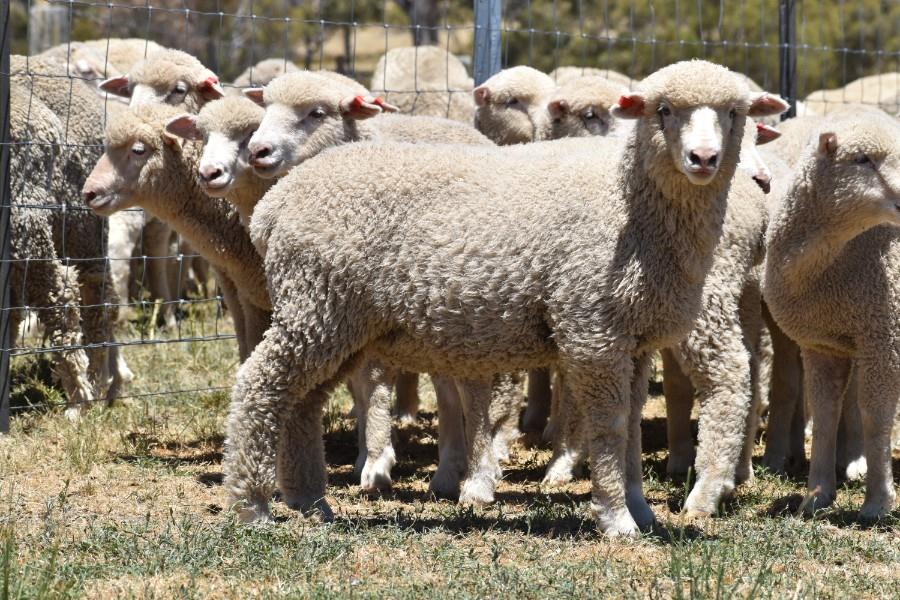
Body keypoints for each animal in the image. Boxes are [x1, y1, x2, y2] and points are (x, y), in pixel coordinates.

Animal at [225, 58, 788, 536]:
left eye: (735, 113)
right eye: (663, 110)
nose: (703, 158)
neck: (628, 205)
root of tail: (276, 205)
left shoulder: (634, 338)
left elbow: (628, 430)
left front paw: (641, 509)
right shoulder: (593, 330)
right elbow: (609, 428)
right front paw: (617, 519)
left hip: (338, 321)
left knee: (302, 400)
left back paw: (309, 501)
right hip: (316, 304)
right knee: (260, 385)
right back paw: (251, 505)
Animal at [764, 108, 900, 520]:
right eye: (862, 159)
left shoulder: (883, 337)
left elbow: (875, 418)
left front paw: (877, 501)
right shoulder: (823, 344)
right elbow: (824, 416)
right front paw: (817, 495)